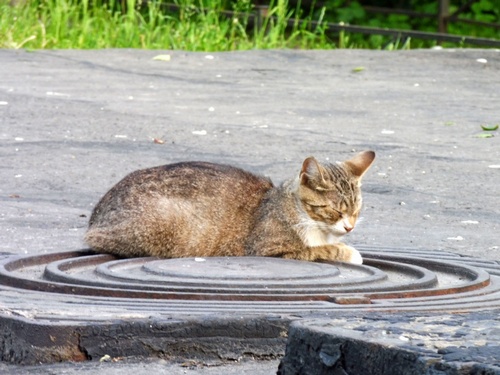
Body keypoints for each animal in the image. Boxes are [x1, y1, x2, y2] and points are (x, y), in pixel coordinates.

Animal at [85, 150, 376, 264]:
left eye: (356, 210)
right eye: (335, 211)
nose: (349, 227)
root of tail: (96, 217)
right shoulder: (269, 250)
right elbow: (318, 250)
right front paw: (348, 251)